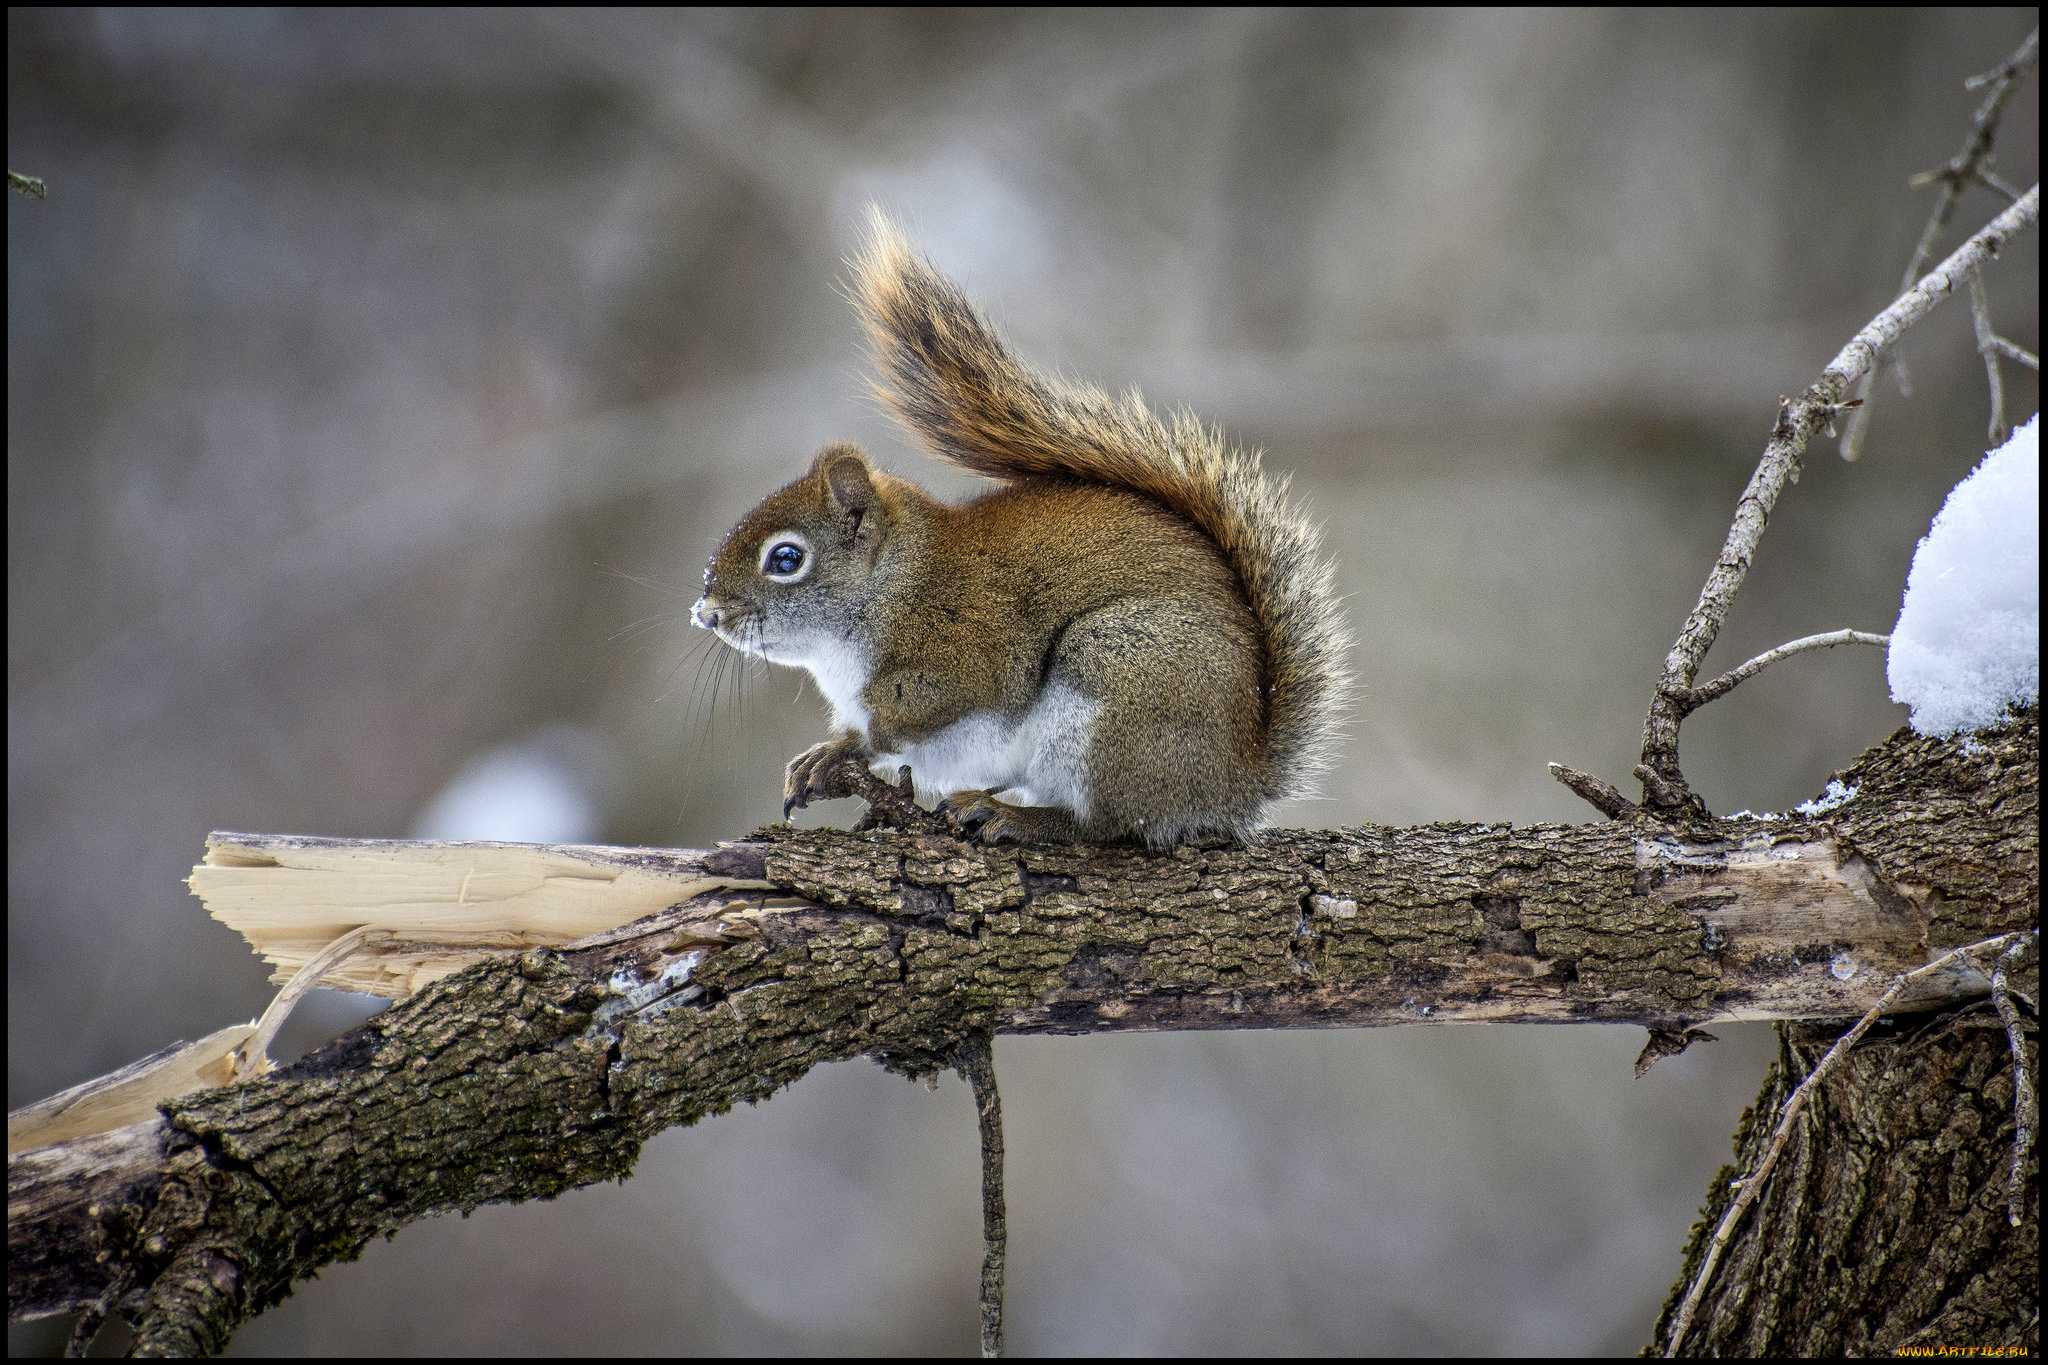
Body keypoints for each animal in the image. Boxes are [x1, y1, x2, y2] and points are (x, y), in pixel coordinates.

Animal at [696, 211, 1351, 843]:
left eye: (786, 559)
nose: (706, 613)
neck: (891, 587)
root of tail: (1236, 779)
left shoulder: (961, 650)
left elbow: (911, 718)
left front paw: (851, 748)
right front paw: (827, 752)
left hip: (1117, 678)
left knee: (1107, 826)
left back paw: (1019, 817)